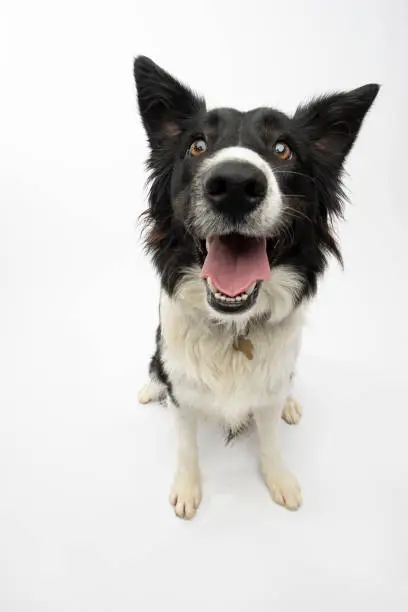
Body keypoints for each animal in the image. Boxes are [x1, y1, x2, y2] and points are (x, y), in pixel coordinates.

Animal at [133, 56, 380, 520]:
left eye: (283, 149)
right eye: (197, 145)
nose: (234, 184)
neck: (235, 330)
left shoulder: (268, 387)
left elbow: (269, 440)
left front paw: (279, 480)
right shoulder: (183, 392)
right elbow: (186, 444)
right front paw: (187, 489)